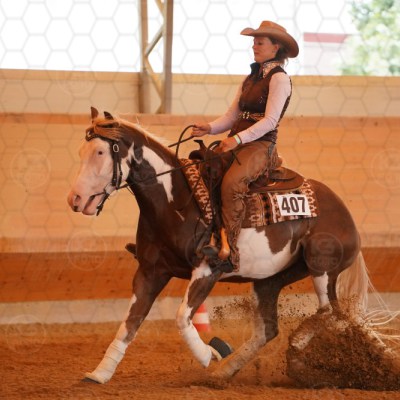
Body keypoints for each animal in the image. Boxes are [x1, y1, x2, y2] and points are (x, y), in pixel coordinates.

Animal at [67, 107, 368, 384]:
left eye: (101, 153)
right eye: (81, 151)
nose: (75, 199)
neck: (178, 200)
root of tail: (344, 213)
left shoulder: (207, 270)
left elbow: (182, 317)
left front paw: (208, 354)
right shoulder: (150, 271)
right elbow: (130, 323)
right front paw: (100, 373)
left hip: (322, 269)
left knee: (331, 313)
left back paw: (298, 348)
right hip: (270, 280)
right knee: (269, 330)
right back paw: (226, 371)